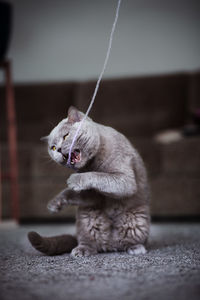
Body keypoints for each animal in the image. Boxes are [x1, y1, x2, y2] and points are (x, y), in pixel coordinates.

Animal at [27, 106, 150, 256]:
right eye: (53, 148)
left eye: (66, 136)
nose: (59, 149)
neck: (91, 164)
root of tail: (111, 245)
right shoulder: (92, 195)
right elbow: (73, 192)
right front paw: (55, 204)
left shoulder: (125, 179)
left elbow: (99, 176)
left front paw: (73, 180)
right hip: (86, 218)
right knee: (89, 242)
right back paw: (82, 250)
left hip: (137, 220)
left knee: (129, 241)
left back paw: (136, 248)